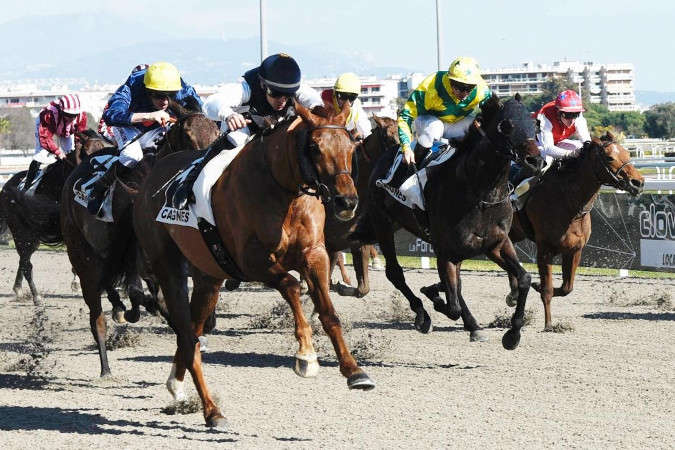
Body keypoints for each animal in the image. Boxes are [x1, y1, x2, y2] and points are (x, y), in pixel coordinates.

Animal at [0, 130, 107, 305]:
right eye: (90, 152)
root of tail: (6, 187)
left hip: (33, 237)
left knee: (23, 259)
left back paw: (18, 289)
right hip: (20, 232)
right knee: (26, 262)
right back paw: (36, 296)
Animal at [60, 100, 219, 378]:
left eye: (216, 132)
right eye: (188, 135)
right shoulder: (141, 260)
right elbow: (142, 294)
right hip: (82, 257)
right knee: (97, 315)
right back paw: (106, 367)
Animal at [133, 100, 374, 428]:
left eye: (351, 144)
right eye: (314, 147)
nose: (346, 202)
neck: (281, 188)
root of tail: (152, 179)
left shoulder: (315, 254)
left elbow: (328, 312)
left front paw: (354, 371)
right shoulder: (250, 261)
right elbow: (291, 285)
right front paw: (306, 356)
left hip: (209, 278)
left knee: (192, 333)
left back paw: (177, 384)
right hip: (169, 269)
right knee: (186, 332)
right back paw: (211, 410)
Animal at [367, 95, 544, 349]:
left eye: (535, 124)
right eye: (506, 125)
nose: (535, 160)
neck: (481, 193)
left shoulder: (496, 244)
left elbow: (524, 278)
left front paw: (513, 334)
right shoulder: (447, 252)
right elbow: (452, 307)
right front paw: (435, 299)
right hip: (382, 223)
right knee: (395, 273)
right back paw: (424, 315)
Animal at [507, 133, 644, 330]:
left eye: (627, 153)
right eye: (610, 157)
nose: (638, 182)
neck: (568, 203)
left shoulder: (574, 249)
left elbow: (567, 288)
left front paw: (537, 286)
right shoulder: (544, 250)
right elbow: (548, 289)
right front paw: (549, 324)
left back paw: (513, 294)